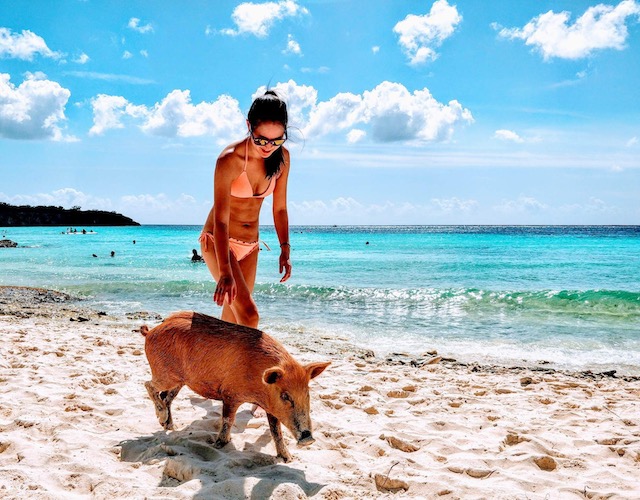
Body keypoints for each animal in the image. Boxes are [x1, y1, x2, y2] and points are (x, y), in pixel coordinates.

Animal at [141, 310, 330, 462]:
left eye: (307, 394)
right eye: (285, 396)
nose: (308, 439)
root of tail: (151, 332)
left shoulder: (270, 407)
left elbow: (276, 431)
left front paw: (287, 459)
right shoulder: (230, 395)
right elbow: (228, 420)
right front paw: (219, 444)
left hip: (180, 381)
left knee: (166, 397)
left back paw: (170, 426)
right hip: (165, 374)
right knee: (149, 385)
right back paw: (163, 417)